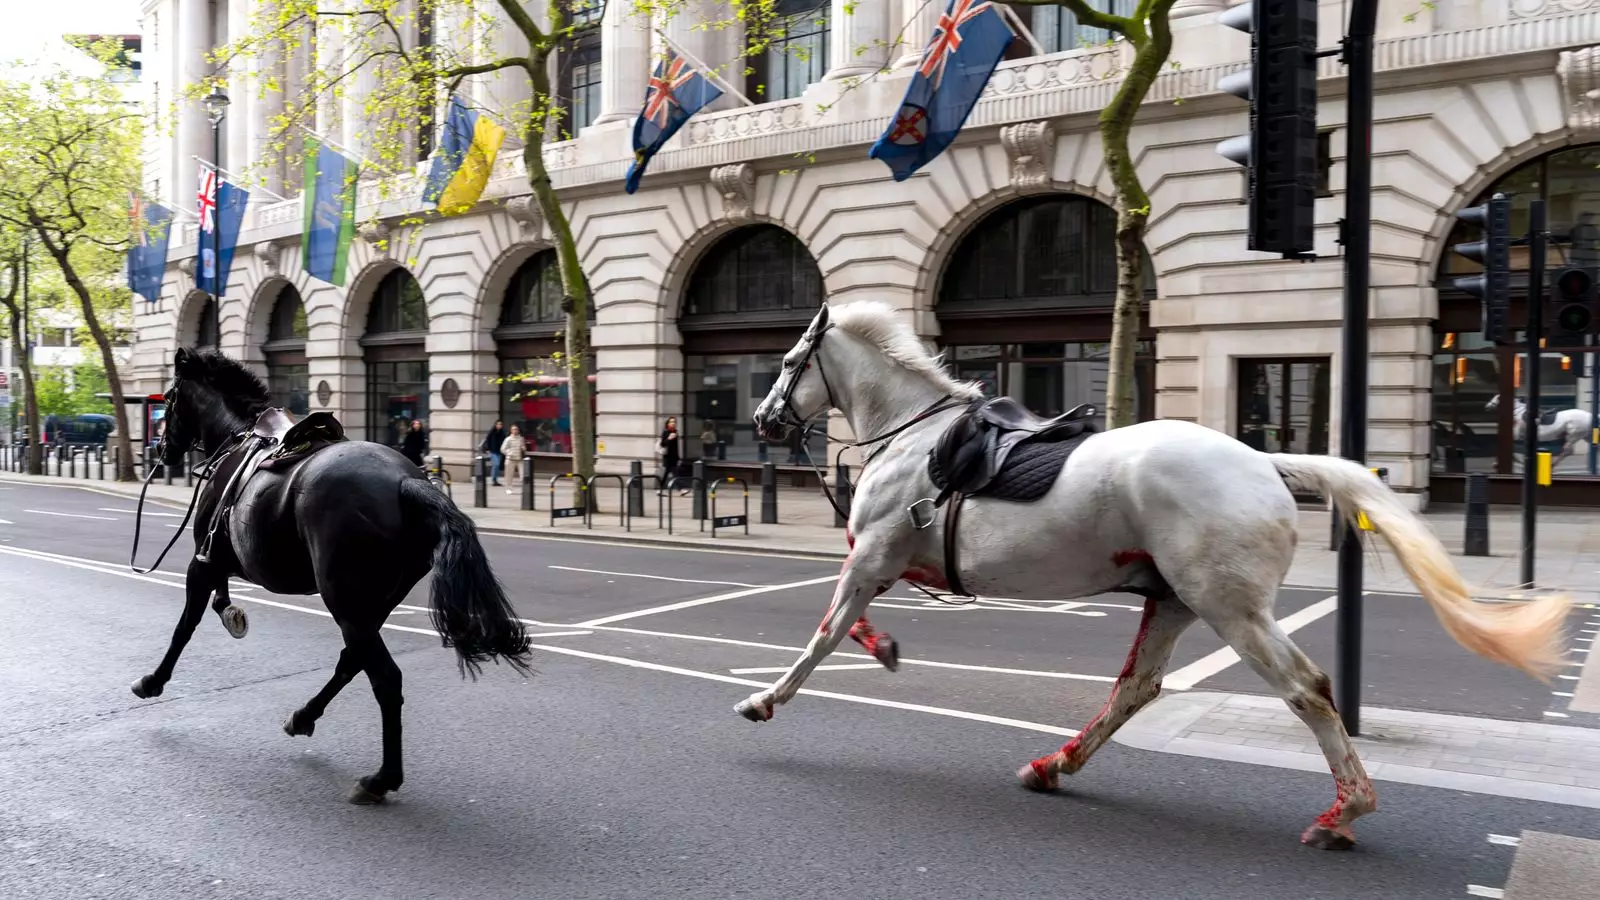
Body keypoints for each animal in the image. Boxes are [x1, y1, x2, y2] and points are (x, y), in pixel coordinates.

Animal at [131, 347, 531, 800]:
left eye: (168, 398)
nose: (160, 449)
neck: (237, 437)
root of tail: (408, 482)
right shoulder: (219, 560)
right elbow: (218, 601)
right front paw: (231, 614)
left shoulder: (204, 560)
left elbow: (185, 626)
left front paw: (154, 680)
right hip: (371, 605)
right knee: (351, 662)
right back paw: (304, 717)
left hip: (346, 603)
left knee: (384, 679)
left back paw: (381, 778)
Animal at [742, 299, 1568, 845]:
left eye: (786, 362)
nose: (762, 419)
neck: (914, 436)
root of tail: (1267, 463)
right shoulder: (884, 560)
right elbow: (851, 626)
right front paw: (883, 648)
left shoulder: (873, 554)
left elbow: (825, 633)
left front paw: (766, 700)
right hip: (1173, 599)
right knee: (1137, 687)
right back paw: (1055, 764)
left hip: (1228, 606)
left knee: (1306, 688)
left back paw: (1345, 811)